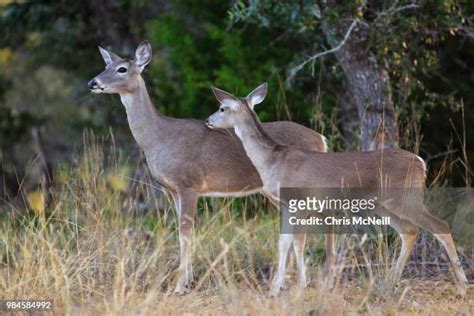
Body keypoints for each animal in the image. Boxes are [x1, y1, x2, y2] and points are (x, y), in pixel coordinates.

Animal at [90, 42, 334, 294]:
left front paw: (180, 286)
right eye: (105, 66)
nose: (93, 83)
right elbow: (184, 232)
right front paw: (186, 280)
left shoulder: (189, 184)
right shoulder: (173, 191)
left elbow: (185, 233)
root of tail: (321, 139)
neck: (159, 138)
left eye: (121, 69)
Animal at [206, 82, 466, 298]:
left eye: (222, 108)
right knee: (410, 231)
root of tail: (421, 163)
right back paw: (390, 281)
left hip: (406, 197)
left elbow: (298, 243)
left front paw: (300, 286)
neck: (273, 161)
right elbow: (284, 242)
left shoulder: (299, 204)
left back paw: (462, 286)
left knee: (440, 225)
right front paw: (275, 289)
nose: (208, 120)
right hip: (383, 204)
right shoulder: (287, 206)